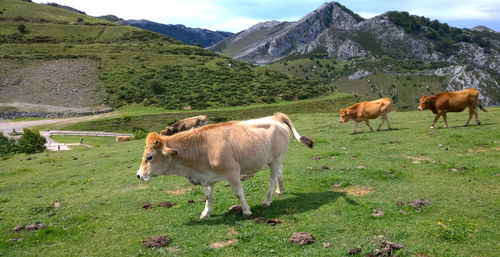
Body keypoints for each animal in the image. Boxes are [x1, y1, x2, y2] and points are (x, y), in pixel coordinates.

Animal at [137, 112, 312, 218]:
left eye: (149, 157)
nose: (139, 175)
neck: (203, 147)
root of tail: (275, 117)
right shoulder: (207, 176)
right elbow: (208, 196)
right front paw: (205, 213)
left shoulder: (232, 172)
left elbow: (239, 193)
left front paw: (246, 211)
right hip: (273, 160)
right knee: (280, 172)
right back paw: (280, 190)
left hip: (275, 159)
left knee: (272, 179)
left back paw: (267, 200)